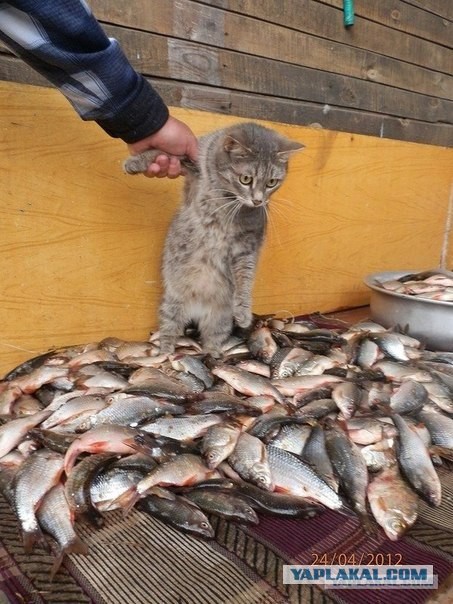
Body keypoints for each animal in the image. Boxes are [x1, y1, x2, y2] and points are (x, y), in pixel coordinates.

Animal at [123, 122, 304, 356]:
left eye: (272, 182)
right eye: (246, 179)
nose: (258, 201)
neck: (226, 197)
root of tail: (198, 309)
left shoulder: (246, 246)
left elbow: (245, 278)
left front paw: (243, 310)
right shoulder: (192, 164)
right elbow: (163, 152)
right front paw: (135, 162)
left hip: (219, 318)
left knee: (212, 339)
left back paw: (212, 356)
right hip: (172, 305)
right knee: (169, 332)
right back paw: (165, 354)